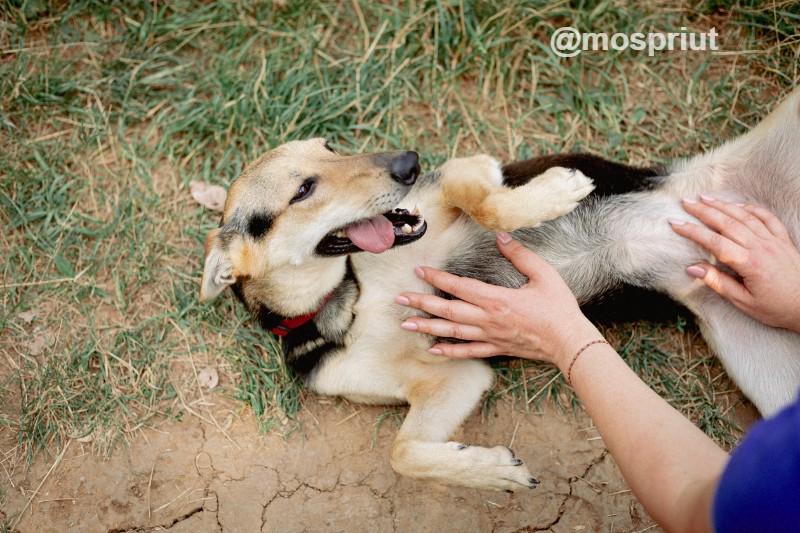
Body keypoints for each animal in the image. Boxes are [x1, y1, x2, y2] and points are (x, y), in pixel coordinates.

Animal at [200, 87, 800, 490]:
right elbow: (404, 452)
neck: (350, 297)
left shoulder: (464, 171)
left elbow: (486, 200)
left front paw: (554, 192)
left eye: (331, 146)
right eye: (304, 189)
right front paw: (489, 472)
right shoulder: (456, 375)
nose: (409, 162)